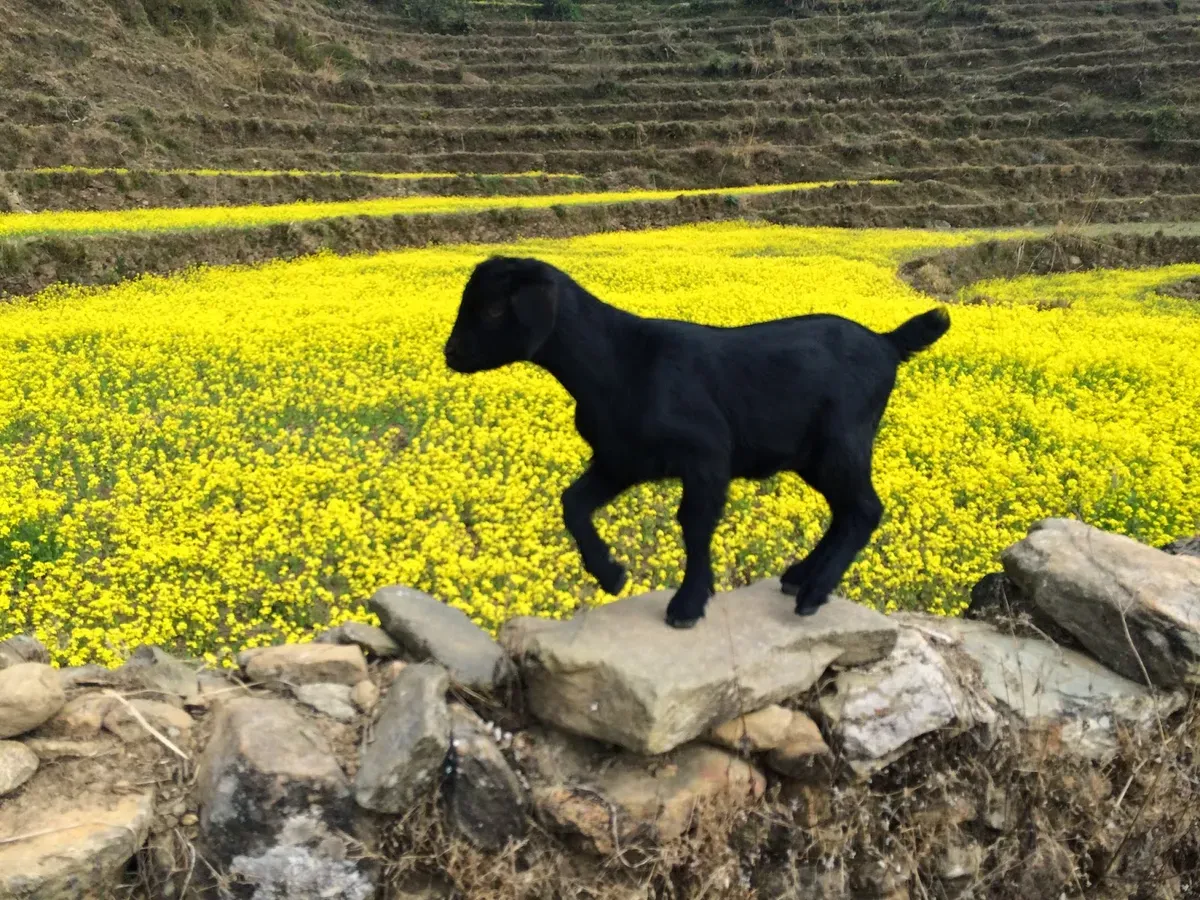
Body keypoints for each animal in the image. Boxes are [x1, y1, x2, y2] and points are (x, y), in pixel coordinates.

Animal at [444, 255, 950, 629]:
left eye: (493, 309)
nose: (451, 354)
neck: (618, 360)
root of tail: (887, 343)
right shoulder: (621, 459)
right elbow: (574, 502)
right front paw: (611, 575)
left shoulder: (706, 453)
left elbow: (694, 522)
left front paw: (688, 604)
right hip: (813, 455)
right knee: (845, 512)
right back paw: (799, 577)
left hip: (841, 442)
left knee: (864, 509)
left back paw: (813, 592)